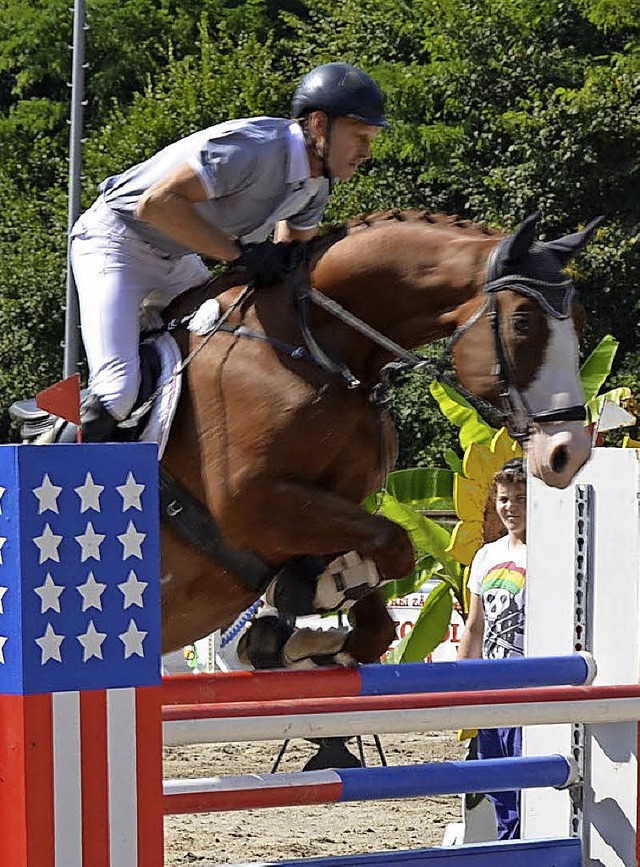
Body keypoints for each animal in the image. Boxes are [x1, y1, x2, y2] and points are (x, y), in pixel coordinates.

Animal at [152, 207, 596, 668]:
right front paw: (309, 603)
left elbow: (379, 599)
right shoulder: (249, 502)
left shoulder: (335, 504)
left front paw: (299, 634)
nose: (568, 452)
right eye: (522, 322)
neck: (311, 348)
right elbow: (394, 543)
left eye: (580, 322)